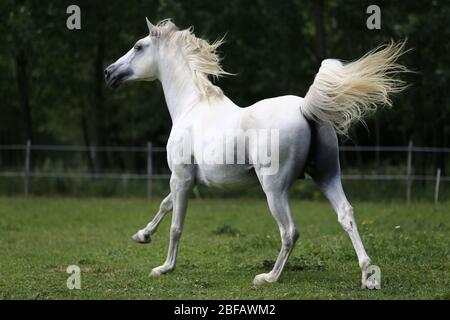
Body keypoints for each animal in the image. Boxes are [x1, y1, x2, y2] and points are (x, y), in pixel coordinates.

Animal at [104, 18, 408, 286]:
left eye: (138, 46)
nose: (109, 72)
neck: (192, 106)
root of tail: (305, 109)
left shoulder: (180, 177)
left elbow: (176, 226)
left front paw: (164, 268)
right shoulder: (187, 180)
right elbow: (165, 205)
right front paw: (142, 235)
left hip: (274, 188)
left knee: (289, 231)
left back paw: (268, 278)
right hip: (327, 176)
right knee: (346, 215)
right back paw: (368, 276)